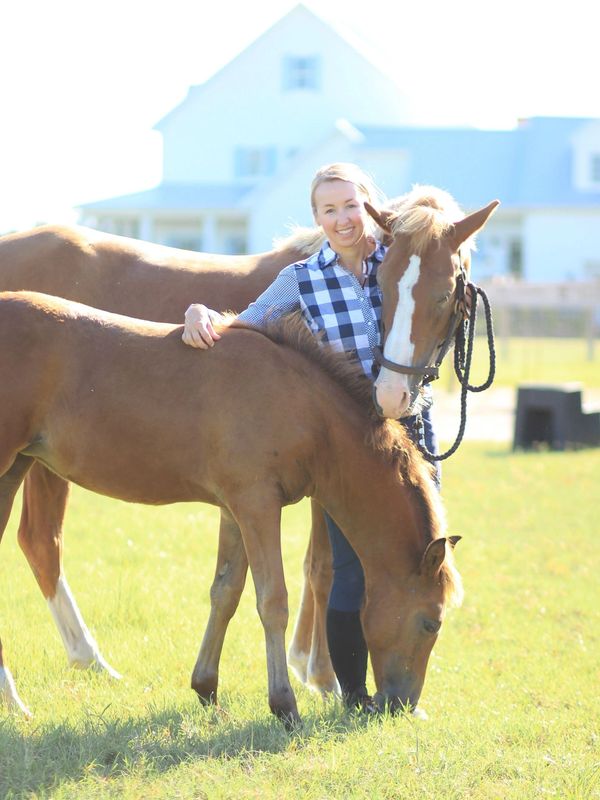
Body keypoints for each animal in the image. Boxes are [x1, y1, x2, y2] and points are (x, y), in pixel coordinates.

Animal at [0, 290, 464, 720]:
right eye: (432, 622)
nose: (400, 704)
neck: (303, 407)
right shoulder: (257, 505)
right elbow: (272, 601)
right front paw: (284, 706)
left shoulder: (233, 508)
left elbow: (225, 592)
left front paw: (206, 688)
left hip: (14, 469)